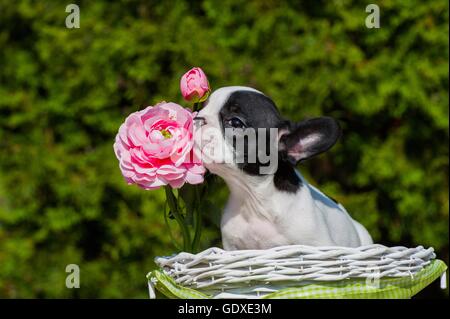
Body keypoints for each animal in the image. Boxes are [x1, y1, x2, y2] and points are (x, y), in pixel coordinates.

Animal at [193, 86, 372, 251]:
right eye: (200, 108)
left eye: (235, 122)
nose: (198, 117)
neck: (253, 197)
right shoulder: (232, 247)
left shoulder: (319, 244)